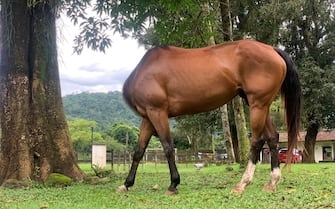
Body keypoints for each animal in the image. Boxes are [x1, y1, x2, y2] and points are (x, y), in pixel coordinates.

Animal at [119, 39, 302, 194]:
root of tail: (272, 49)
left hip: (258, 104)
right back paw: (272, 181)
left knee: (257, 141)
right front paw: (126, 184)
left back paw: (243, 183)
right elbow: (139, 150)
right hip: (261, 105)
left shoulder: (157, 112)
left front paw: (173, 184)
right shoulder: (148, 117)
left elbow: (168, 147)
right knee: (272, 137)